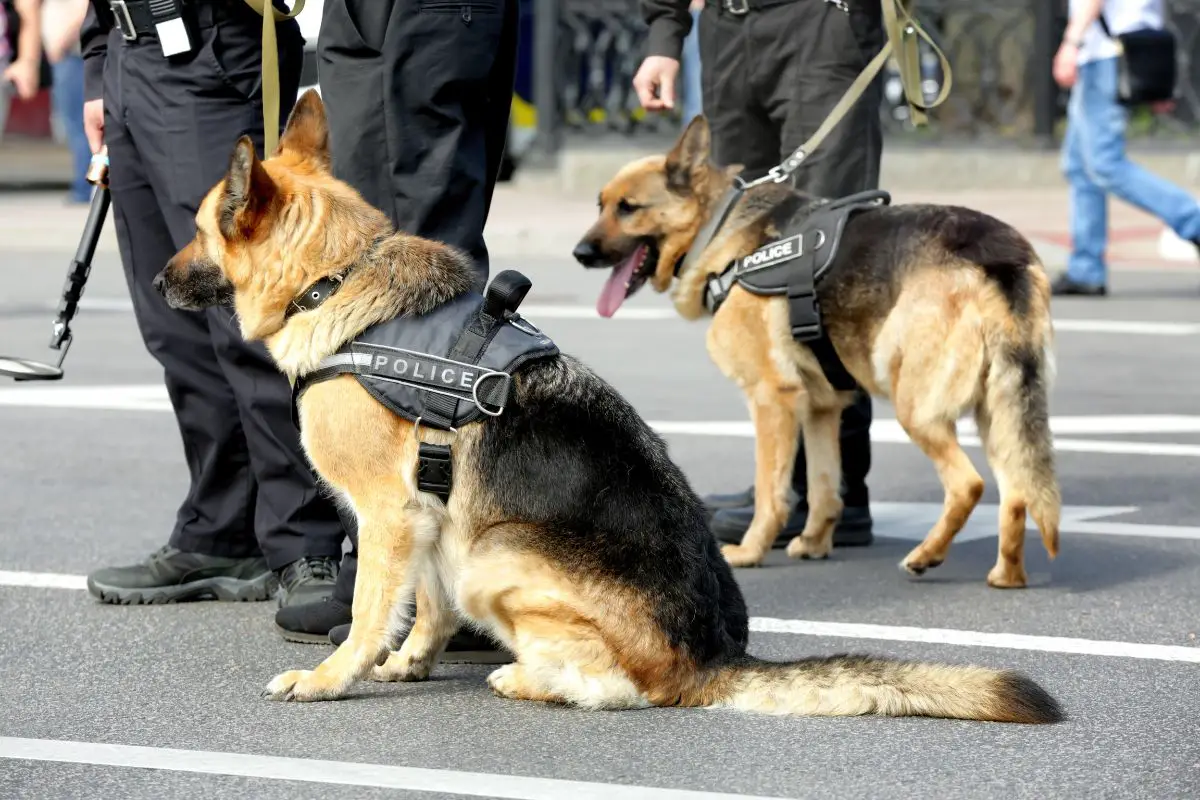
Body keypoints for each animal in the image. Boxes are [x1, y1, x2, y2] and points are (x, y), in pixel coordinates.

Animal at [576, 117, 1065, 587]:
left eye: (628, 208)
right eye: (600, 205)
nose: (580, 253)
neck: (720, 228)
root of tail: (998, 256)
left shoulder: (771, 399)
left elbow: (771, 491)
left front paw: (751, 551)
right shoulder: (821, 409)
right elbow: (825, 487)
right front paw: (814, 543)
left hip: (915, 405)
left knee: (969, 484)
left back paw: (926, 556)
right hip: (997, 414)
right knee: (1017, 492)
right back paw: (1007, 576)